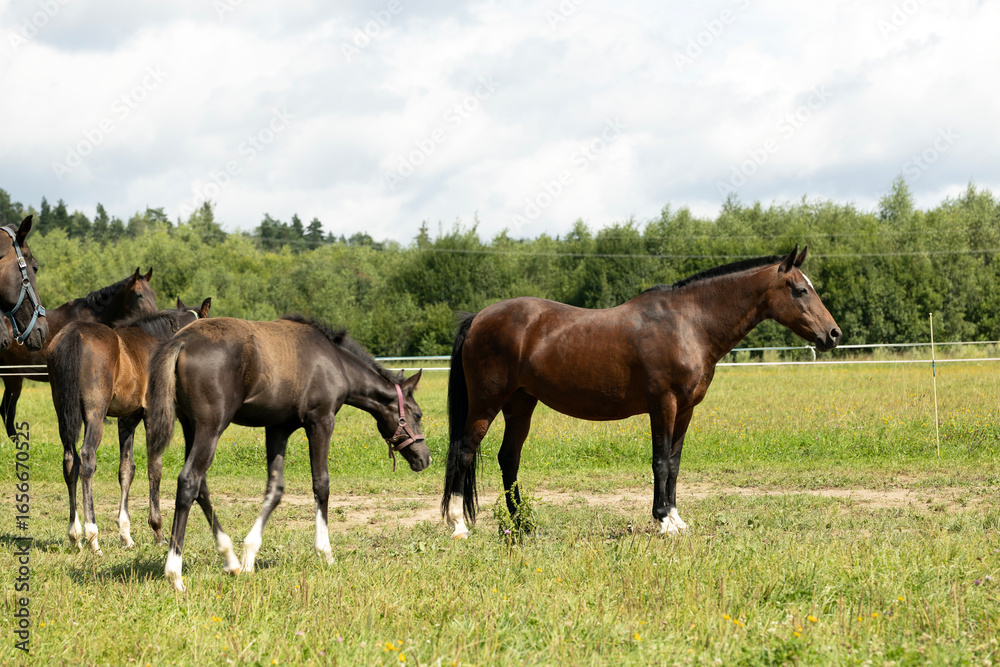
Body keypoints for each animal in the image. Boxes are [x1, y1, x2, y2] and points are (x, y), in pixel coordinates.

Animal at [46, 299, 210, 554]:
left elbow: (126, 469)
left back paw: (75, 535)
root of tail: (74, 333)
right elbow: (155, 466)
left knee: (70, 460)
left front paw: (126, 535)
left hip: (63, 412)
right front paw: (158, 531)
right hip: (95, 413)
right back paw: (92, 536)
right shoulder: (152, 413)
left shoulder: (127, 419)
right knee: (87, 458)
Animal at [143, 315, 432, 592]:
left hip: (190, 426)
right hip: (211, 426)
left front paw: (249, 556)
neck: (336, 362)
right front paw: (325, 553)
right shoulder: (321, 421)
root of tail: (181, 342)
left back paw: (230, 558)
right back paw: (175, 575)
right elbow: (321, 483)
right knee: (189, 481)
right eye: (418, 415)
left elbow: (275, 488)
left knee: (201, 486)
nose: (425, 458)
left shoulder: (278, 427)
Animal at [441, 246, 841, 538]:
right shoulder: (663, 403)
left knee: (508, 458)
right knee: (463, 453)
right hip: (486, 403)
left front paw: (677, 520)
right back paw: (459, 526)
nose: (833, 335)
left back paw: (524, 524)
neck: (689, 323)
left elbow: (675, 464)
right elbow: (660, 461)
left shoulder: (686, 409)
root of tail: (478, 318)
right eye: (801, 290)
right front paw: (662, 521)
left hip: (521, 403)